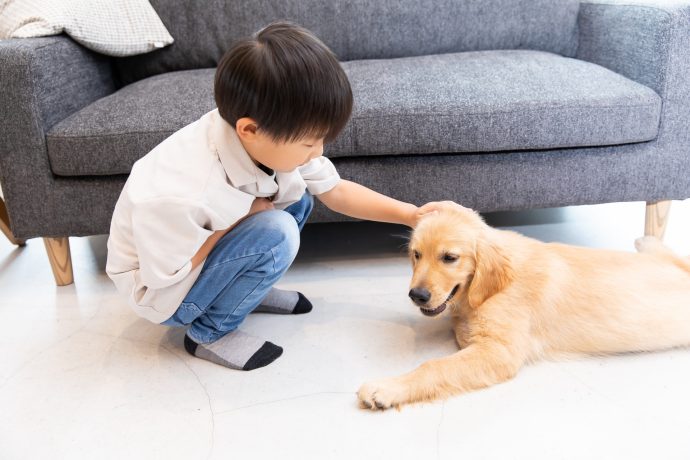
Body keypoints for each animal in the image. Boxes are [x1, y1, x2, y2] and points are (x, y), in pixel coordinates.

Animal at [358, 203, 688, 408]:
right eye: (416, 255)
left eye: (449, 258)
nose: (417, 295)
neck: (491, 288)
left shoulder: (500, 351)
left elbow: (434, 366)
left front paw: (386, 388)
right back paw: (645, 240)